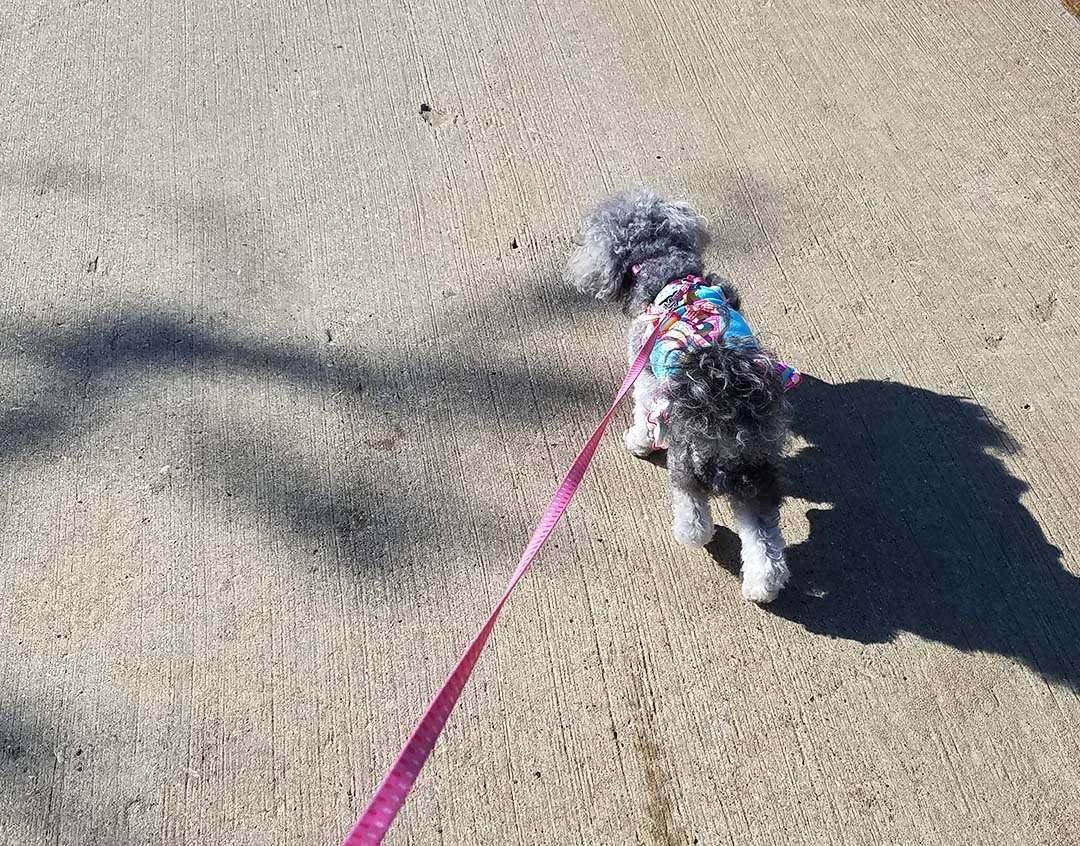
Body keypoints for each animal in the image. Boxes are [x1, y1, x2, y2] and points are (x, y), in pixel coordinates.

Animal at [570, 189, 799, 605]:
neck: (666, 272)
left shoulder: (645, 374)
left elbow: (642, 412)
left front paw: (637, 441)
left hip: (684, 458)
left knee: (693, 511)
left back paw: (693, 534)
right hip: (755, 472)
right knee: (763, 535)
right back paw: (762, 586)